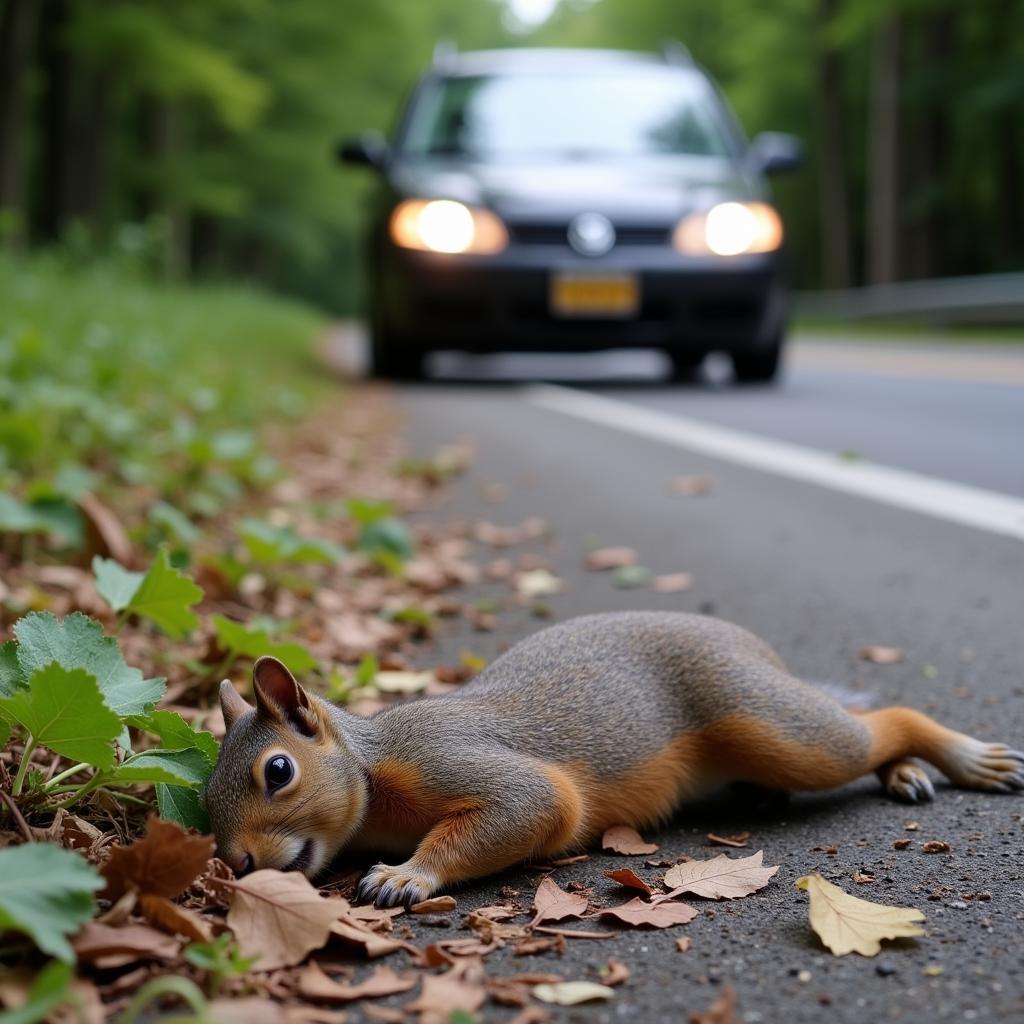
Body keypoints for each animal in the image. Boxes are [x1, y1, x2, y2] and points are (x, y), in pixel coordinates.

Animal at [203, 606, 1019, 905]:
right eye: (206, 799)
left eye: (278, 771)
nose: (236, 863)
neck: (372, 770)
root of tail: (757, 647)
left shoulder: (450, 759)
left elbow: (528, 805)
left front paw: (407, 876)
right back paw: (905, 772)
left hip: (772, 725)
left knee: (874, 724)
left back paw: (958, 756)